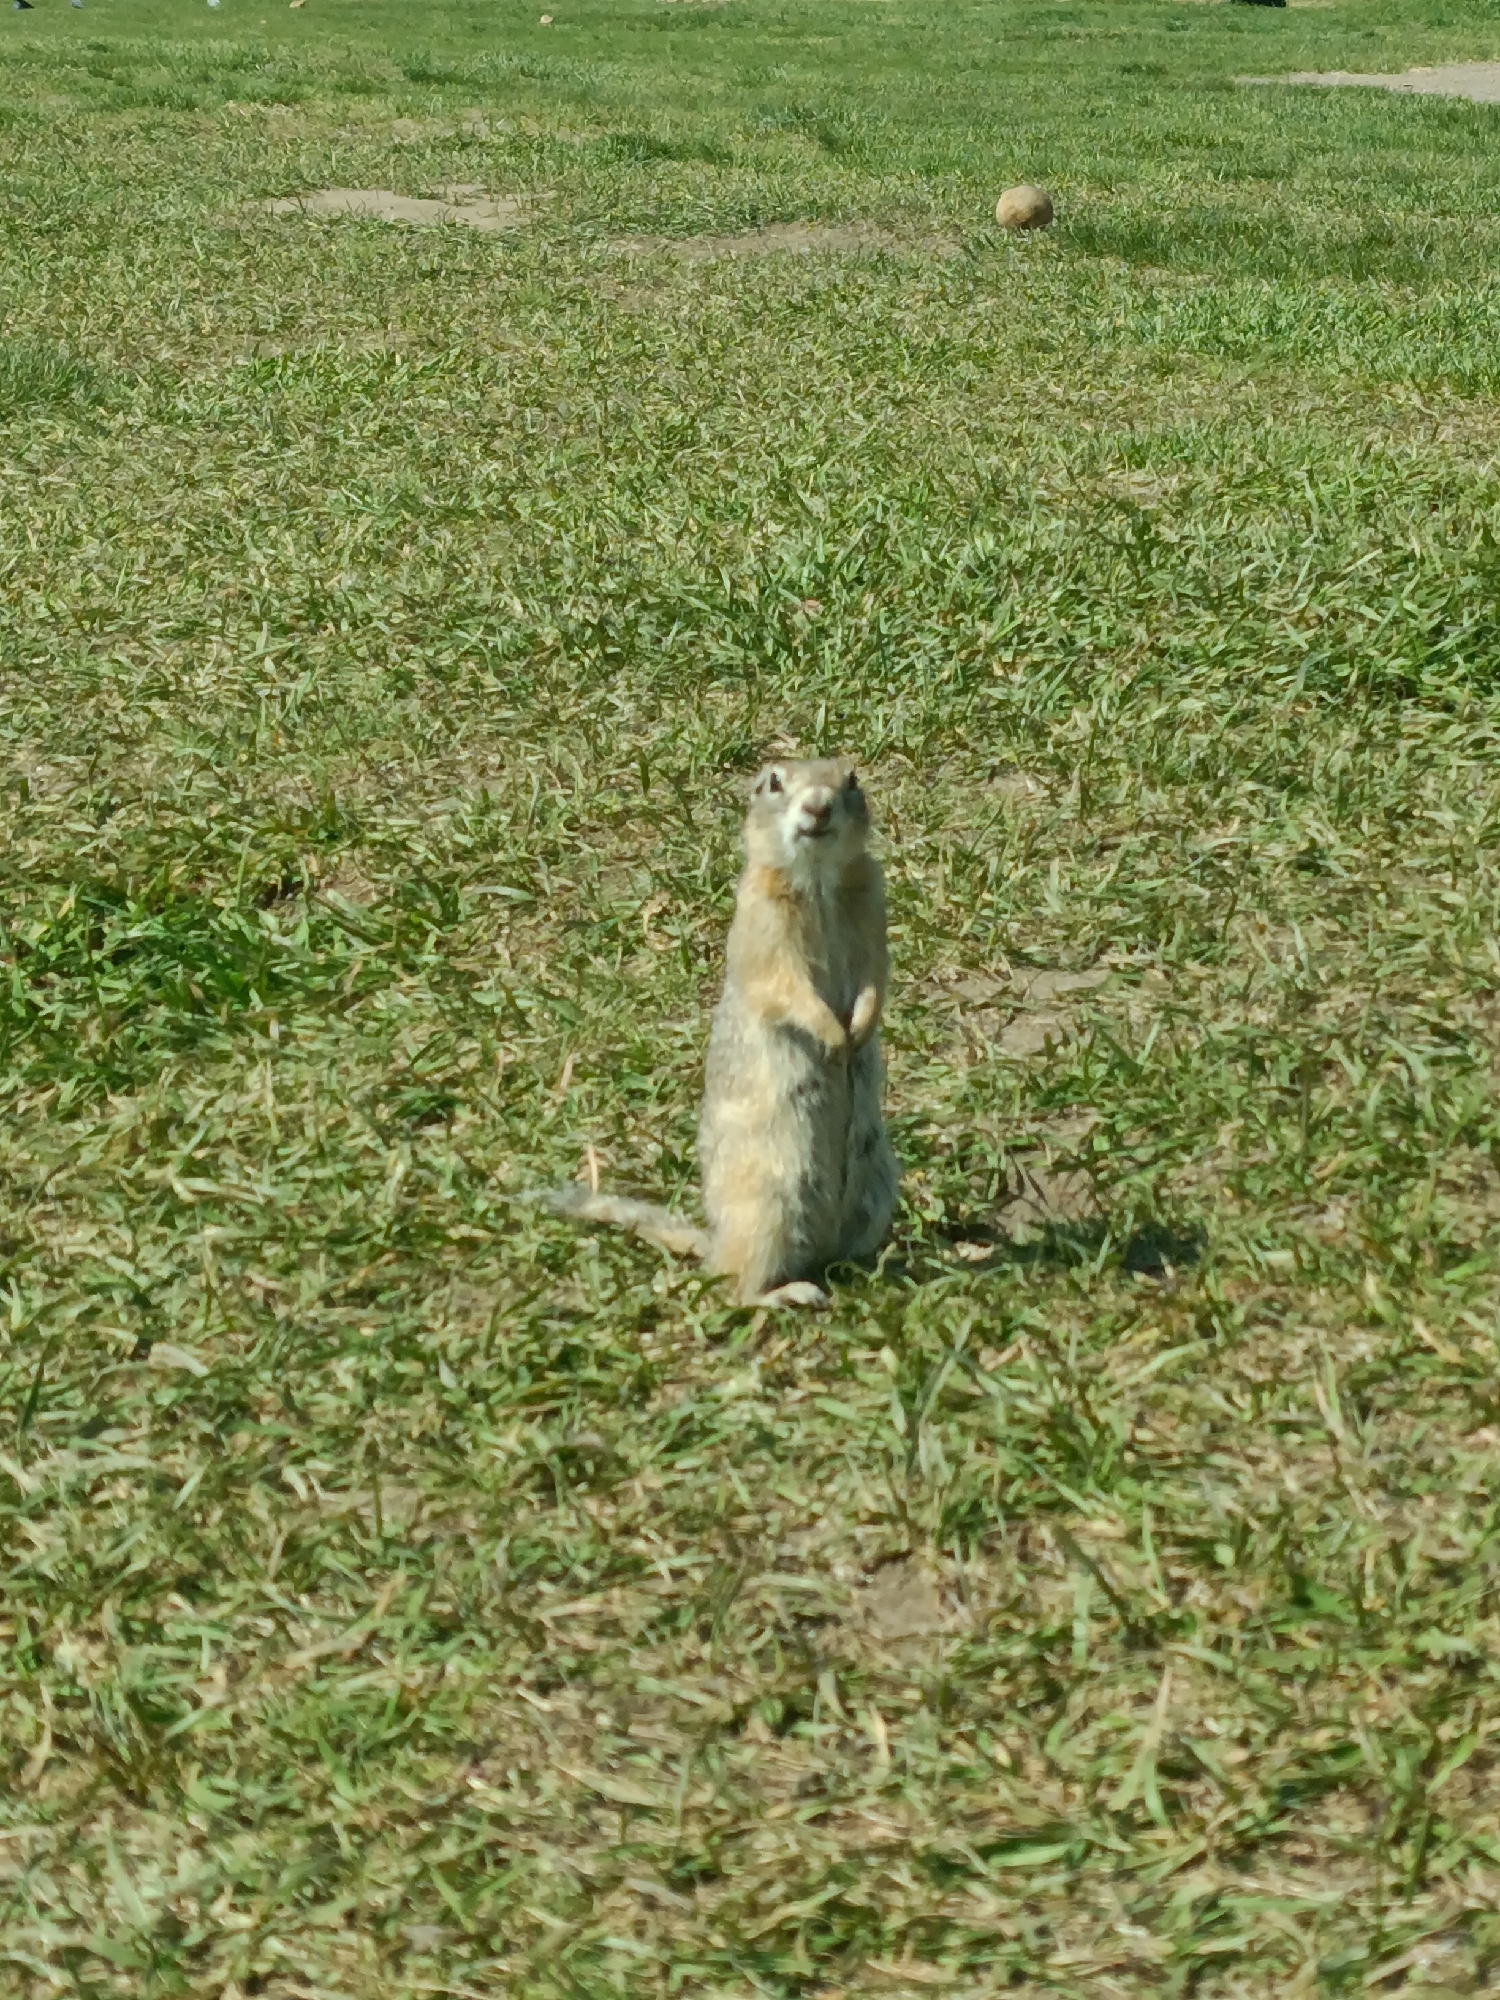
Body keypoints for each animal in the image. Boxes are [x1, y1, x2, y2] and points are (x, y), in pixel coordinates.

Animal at [530, 758, 899, 1306]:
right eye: (773, 781)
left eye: (851, 779)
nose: (818, 806)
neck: (818, 880)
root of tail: (715, 1241)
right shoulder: (761, 926)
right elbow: (782, 986)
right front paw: (834, 1037)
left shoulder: (873, 904)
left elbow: (877, 975)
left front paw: (859, 1026)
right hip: (767, 1206)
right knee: (735, 1287)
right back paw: (789, 1293)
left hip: (878, 1184)